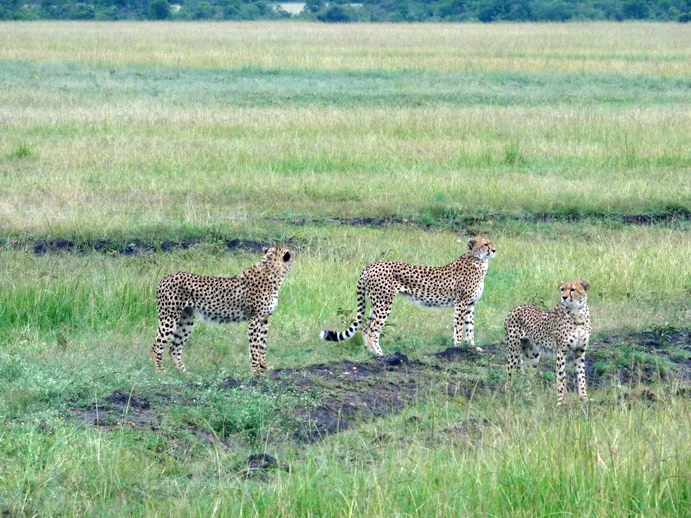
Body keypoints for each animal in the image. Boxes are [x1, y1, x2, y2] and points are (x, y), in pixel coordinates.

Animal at [150, 248, 294, 378]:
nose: (294, 256)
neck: (271, 272)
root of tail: (165, 277)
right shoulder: (254, 319)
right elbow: (254, 347)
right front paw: (255, 371)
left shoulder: (264, 319)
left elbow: (263, 344)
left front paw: (264, 366)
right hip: (169, 318)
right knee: (156, 346)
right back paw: (160, 372)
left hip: (186, 320)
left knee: (174, 348)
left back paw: (184, 373)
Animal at [322, 240, 494, 358]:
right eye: (485, 244)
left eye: (491, 242)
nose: (494, 250)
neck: (478, 261)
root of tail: (371, 265)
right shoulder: (461, 303)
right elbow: (459, 327)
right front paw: (456, 348)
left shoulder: (470, 304)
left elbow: (470, 327)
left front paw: (472, 347)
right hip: (384, 303)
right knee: (372, 329)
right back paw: (380, 353)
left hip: (376, 303)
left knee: (365, 326)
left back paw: (370, 352)